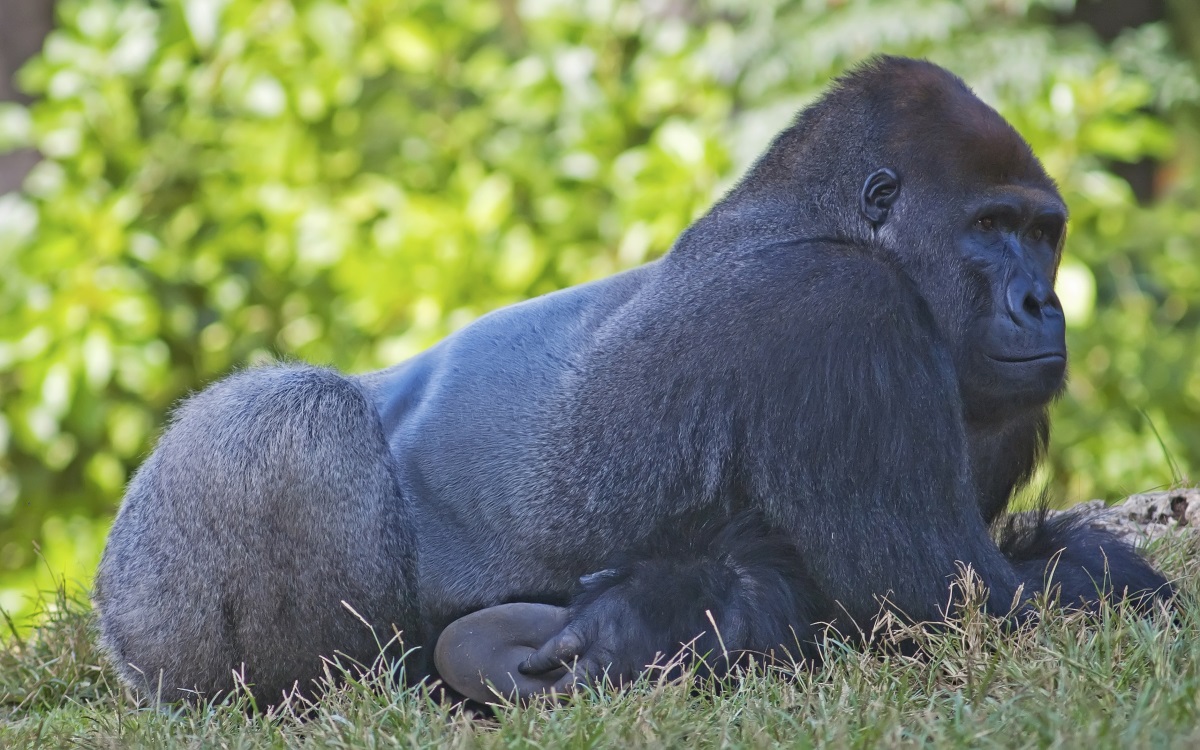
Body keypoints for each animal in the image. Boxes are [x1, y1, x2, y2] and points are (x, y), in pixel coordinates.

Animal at [93, 55, 1171, 705]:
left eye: (1045, 233)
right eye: (992, 228)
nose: (1043, 303)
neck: (825, 222)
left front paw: (666, 613)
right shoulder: (842, 308)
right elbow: (966, 615)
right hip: (144, 600)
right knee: (286, 425)